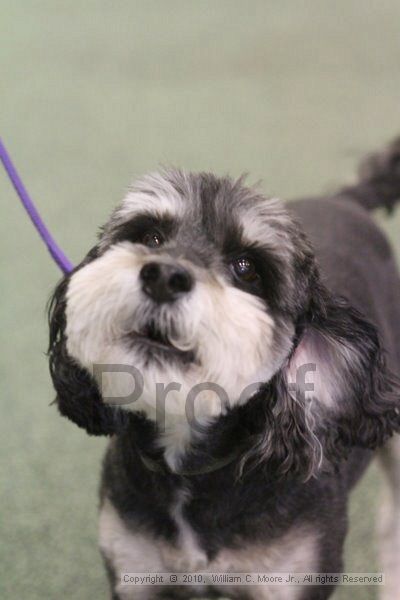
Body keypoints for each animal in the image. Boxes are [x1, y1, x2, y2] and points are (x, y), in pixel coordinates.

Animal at [48, 138, 400, 596]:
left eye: (246, 267)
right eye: (151, 236)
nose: (163, 276)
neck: (192, 470)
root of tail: (348, 199)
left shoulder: (291, 582)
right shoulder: (135, 575)